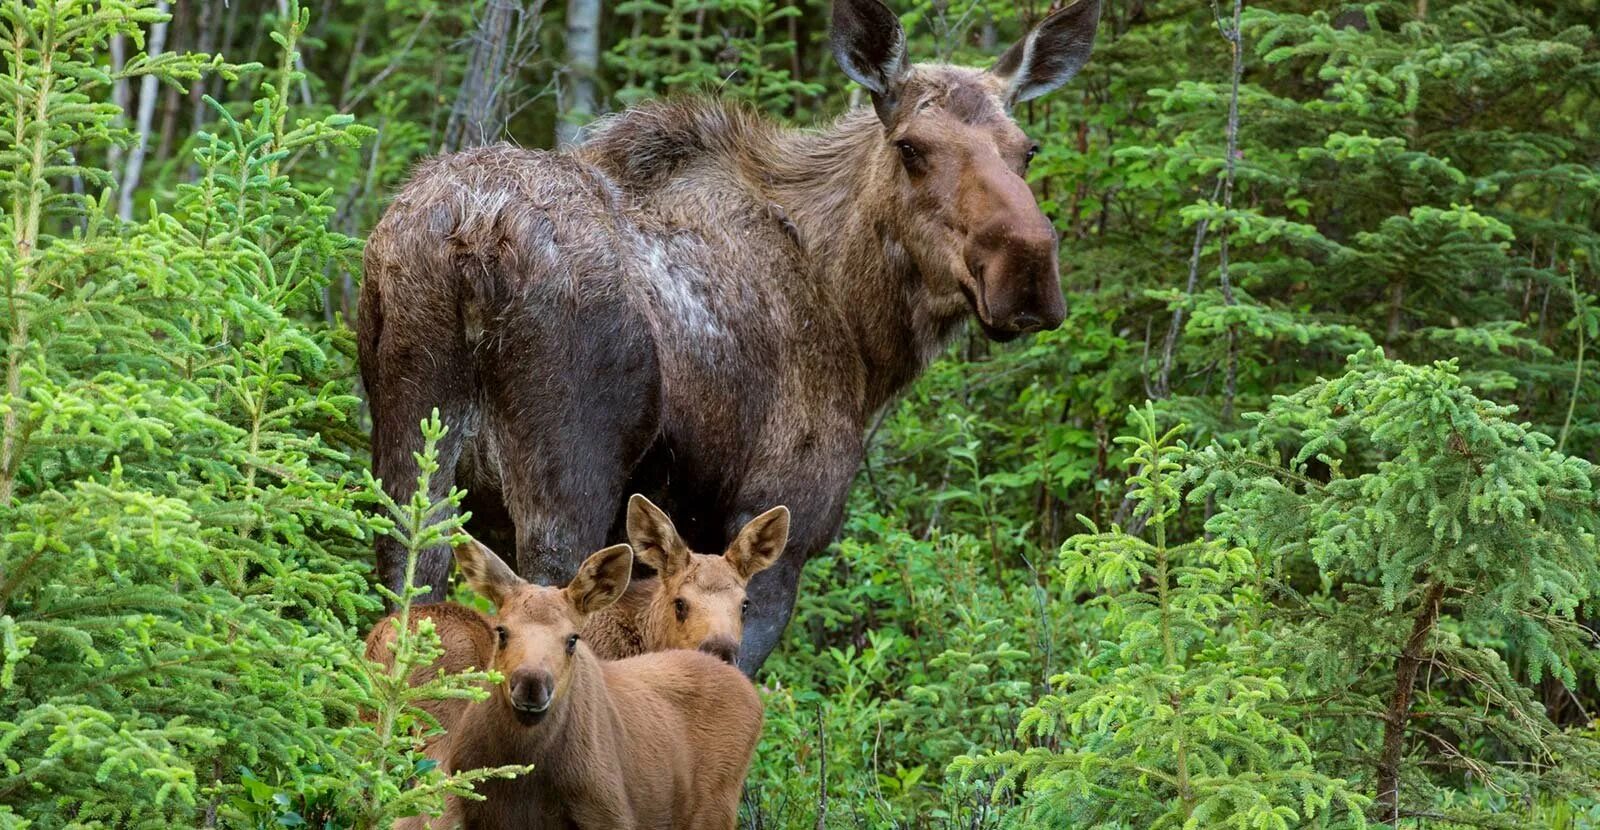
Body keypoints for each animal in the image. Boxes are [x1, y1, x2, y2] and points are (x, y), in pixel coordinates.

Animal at [363, 0, 1107, 671]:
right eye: (912, 148)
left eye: (1026, 149)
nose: (1027, 268)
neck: (862, 332)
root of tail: (468, 236)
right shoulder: (781, 522)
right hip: (565, 480)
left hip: (410, 457)